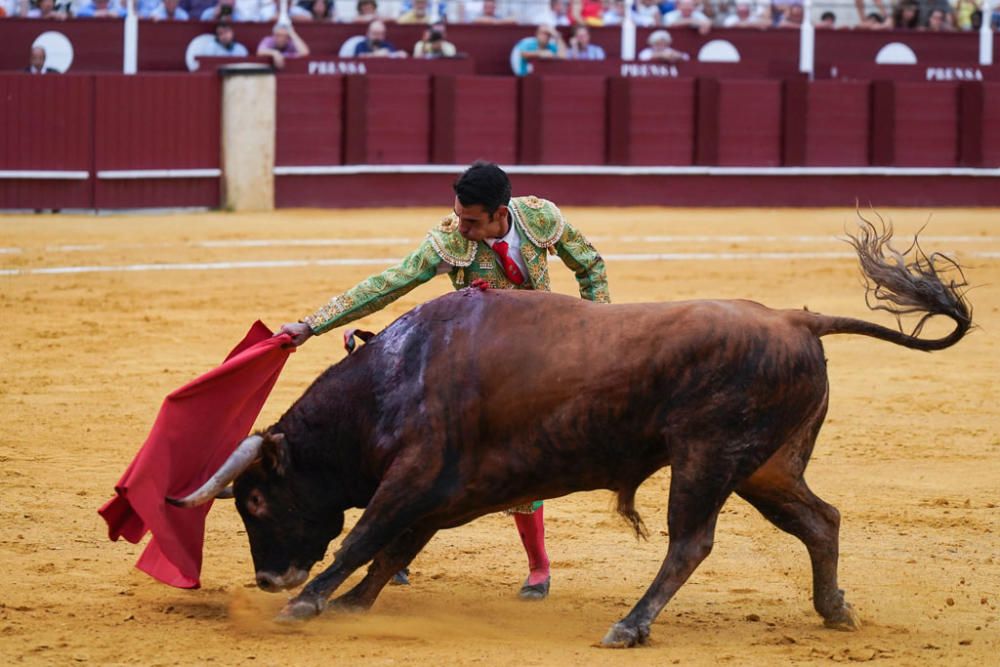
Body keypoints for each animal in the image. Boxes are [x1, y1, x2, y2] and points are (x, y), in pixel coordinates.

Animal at [170, 223, 968, 648]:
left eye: (256, 503)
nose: (269, 579)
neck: (394, 377)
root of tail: (796, 318)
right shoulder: (443, 491)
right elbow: (392, 546)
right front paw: (349, 605)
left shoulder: (416, 476)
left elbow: (363, 538)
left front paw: (305, 605)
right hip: (766, 464)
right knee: (820, 519)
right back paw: (835, 610)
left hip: (709, 457)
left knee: (692, 542)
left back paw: (630, 625)